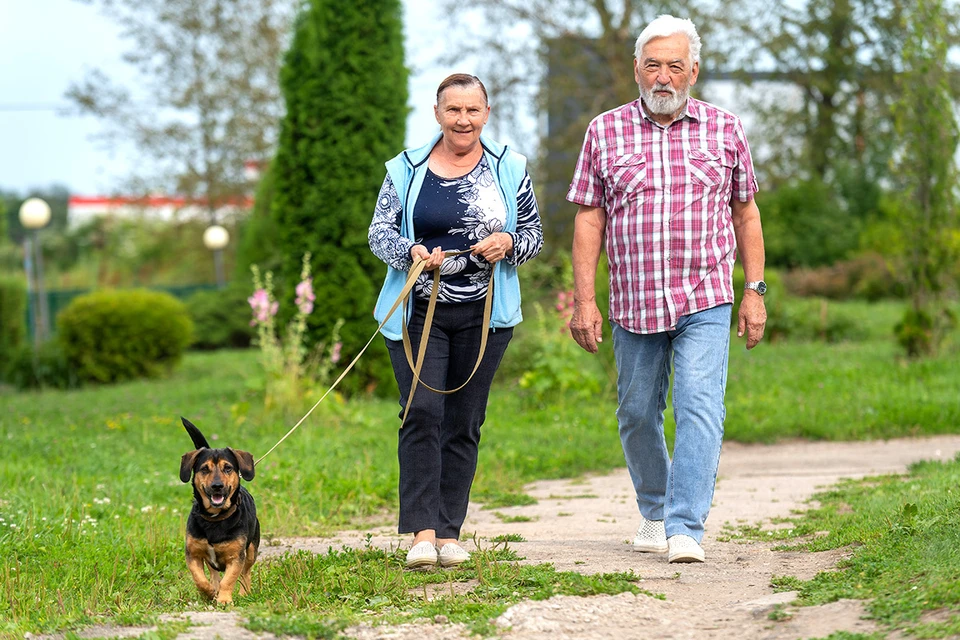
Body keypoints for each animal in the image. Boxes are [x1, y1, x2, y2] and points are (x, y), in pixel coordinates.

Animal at [178, 418, 260, 604]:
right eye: (205, 469)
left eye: (228, 468)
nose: (217, 486)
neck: (215, 518)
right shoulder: (193, 554)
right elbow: (199, 578)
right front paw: (209, 592)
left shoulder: (236, 557)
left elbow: (229, 579)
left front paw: (224, 599)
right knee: (214, 573)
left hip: (252, 550)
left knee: (246, 572)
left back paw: (244, 593)